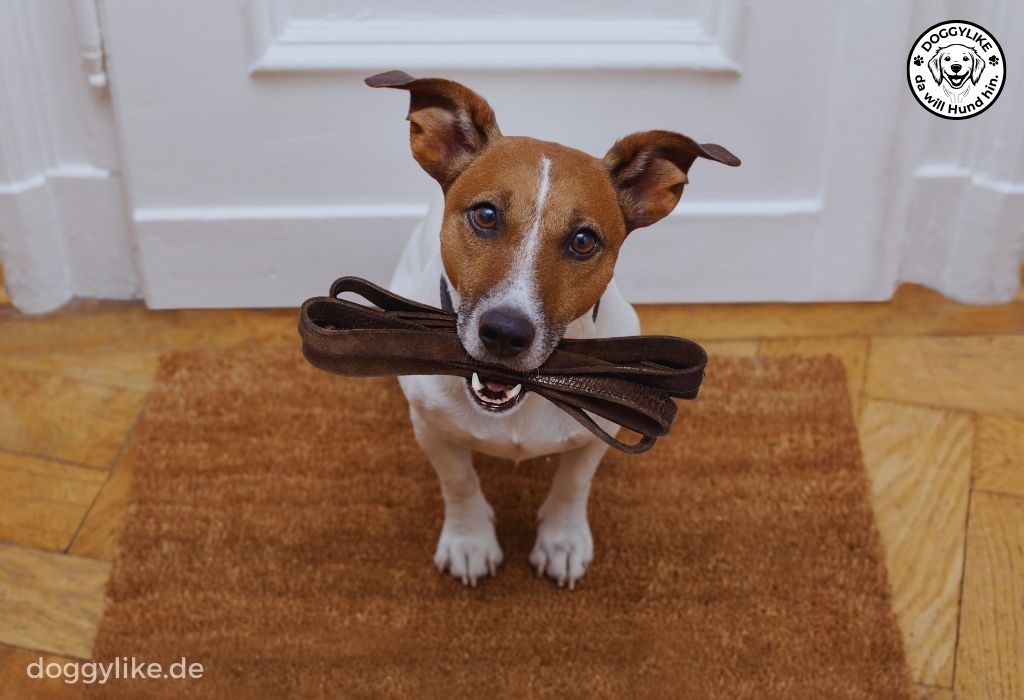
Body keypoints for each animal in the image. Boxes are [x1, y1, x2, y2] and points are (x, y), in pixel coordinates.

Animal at [368, 71, 737, 589]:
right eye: (485, 215)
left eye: (583, 241)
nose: (505, 332)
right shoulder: (431, 428)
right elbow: (459, 482)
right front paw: (469, 540)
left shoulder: (598, 432)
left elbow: (572, 484)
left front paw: (561, 540)